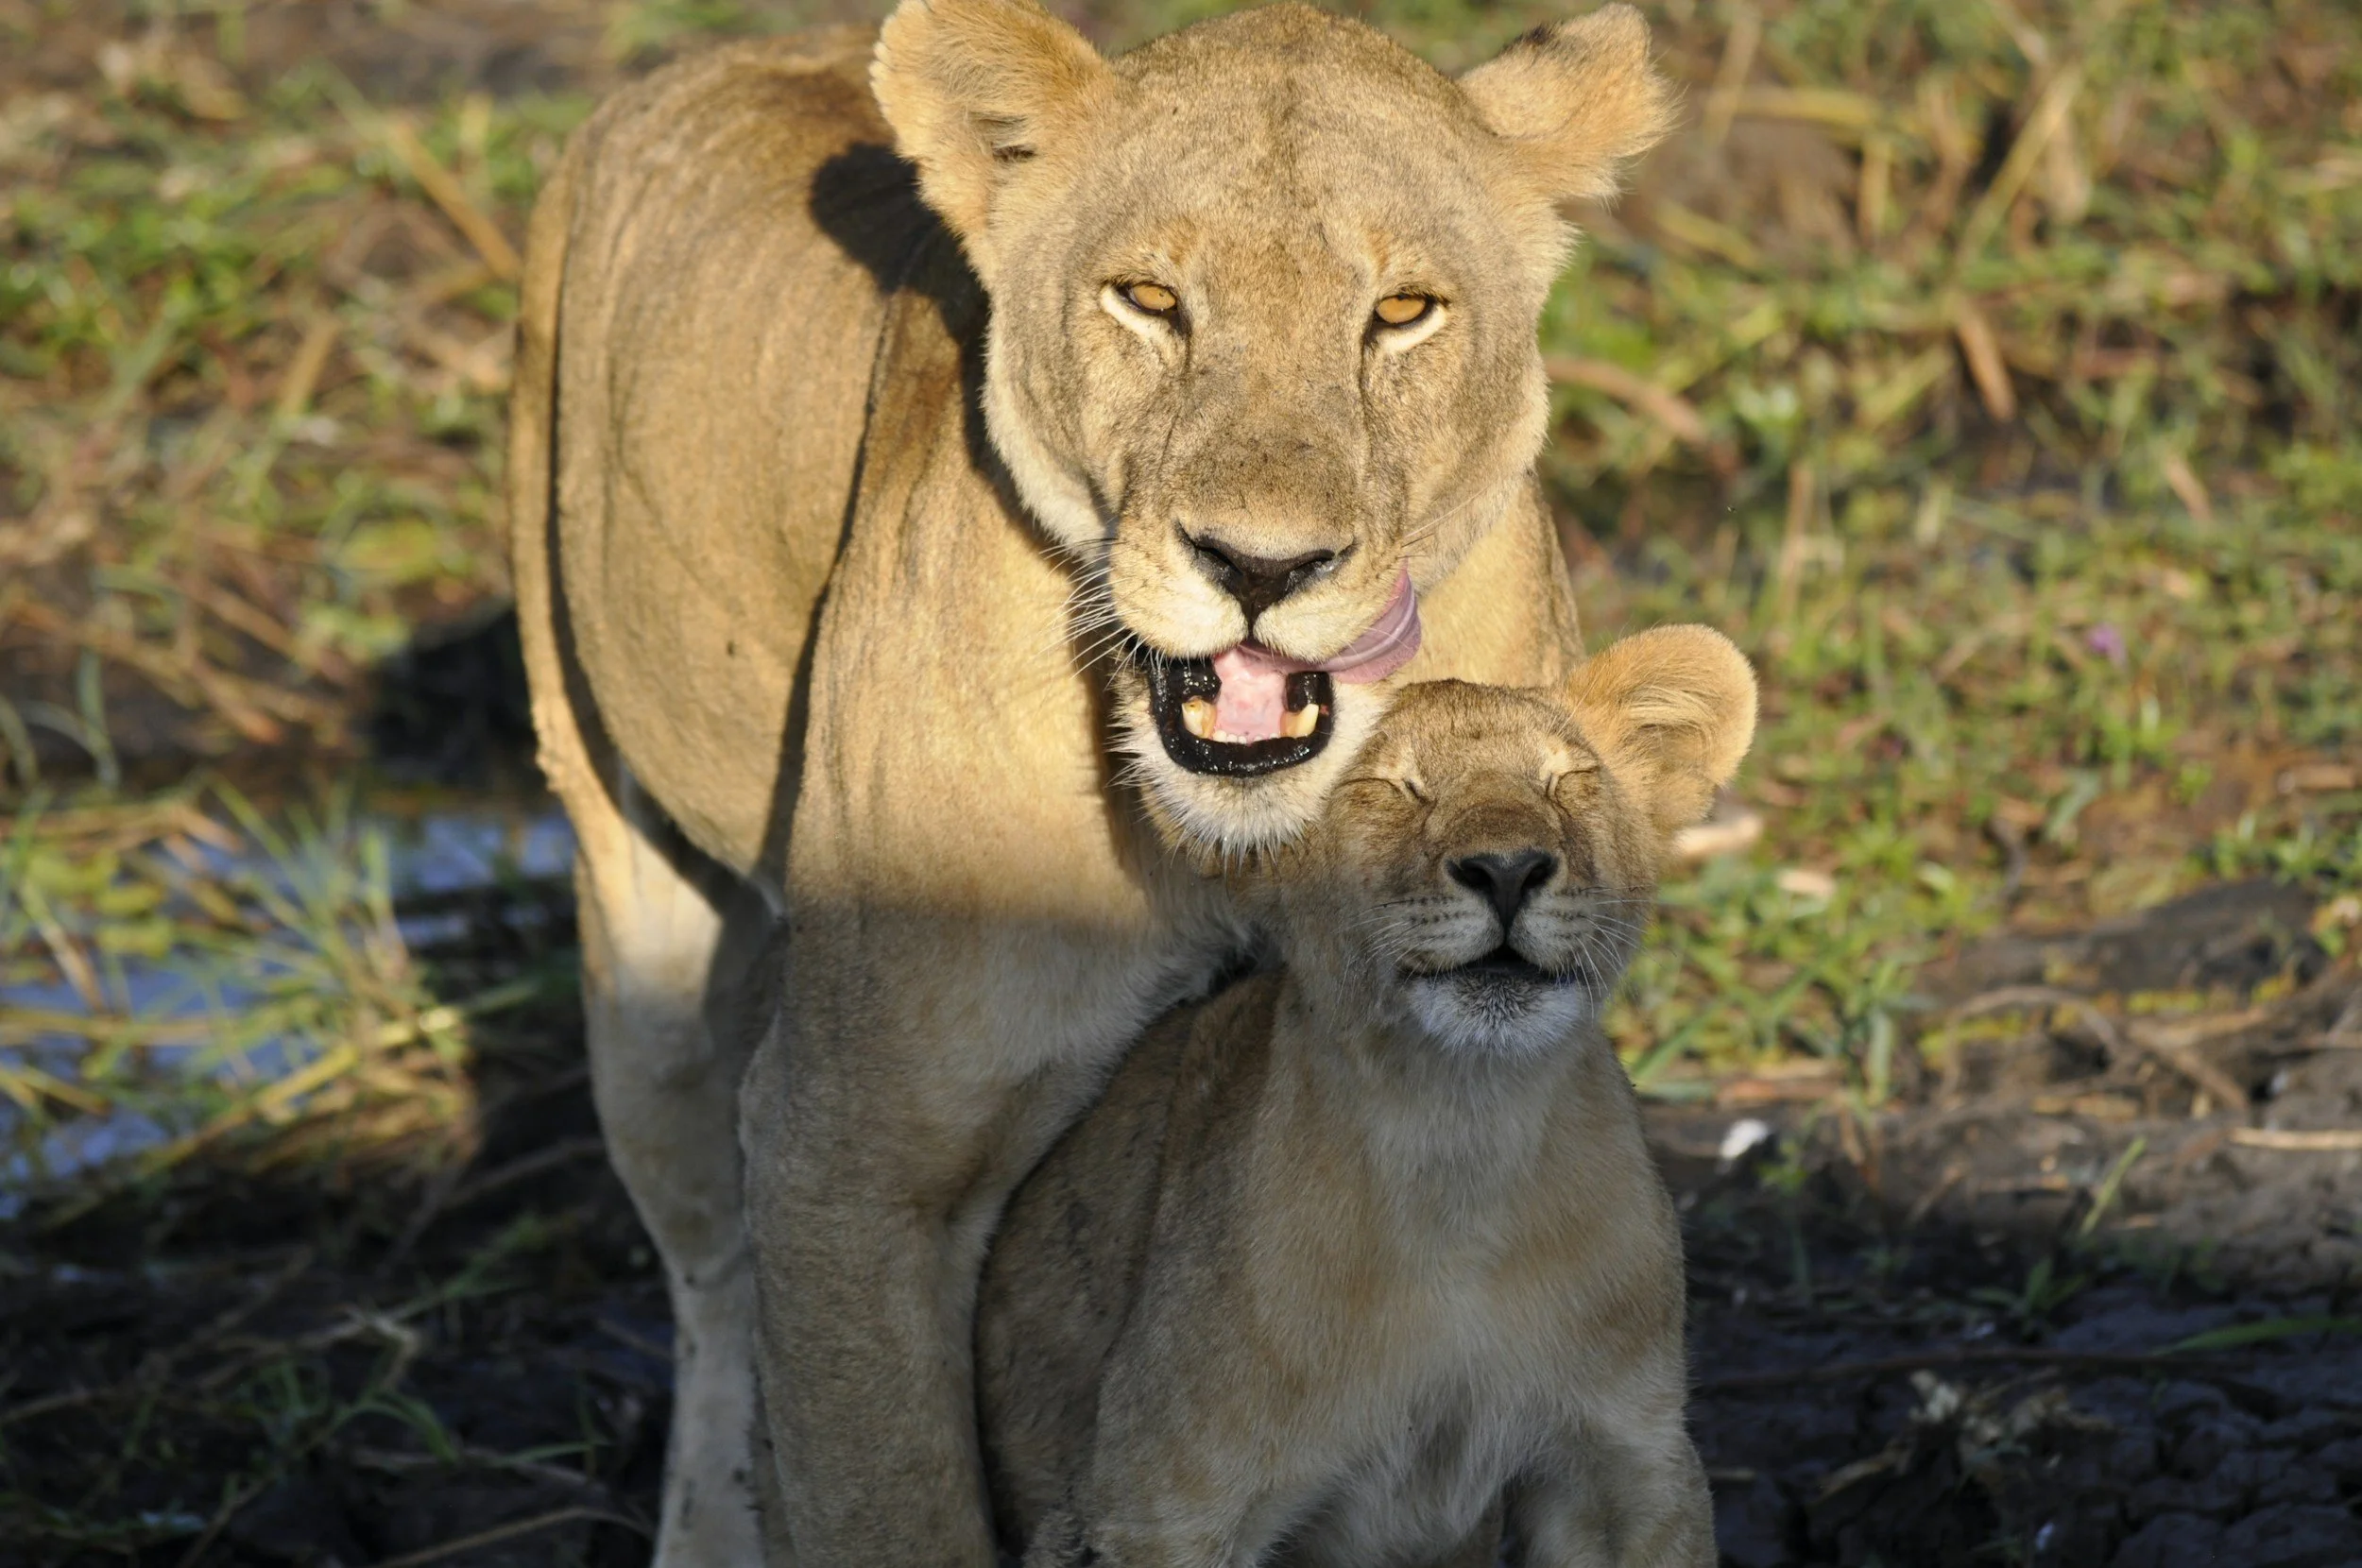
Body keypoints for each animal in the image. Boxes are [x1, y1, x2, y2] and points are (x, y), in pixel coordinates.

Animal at [506, 2, 1675, 1560]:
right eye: (1149, 299)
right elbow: (890, 1502)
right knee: (709, 1296)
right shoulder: (853, 1157)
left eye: (1402, 313)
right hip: (634, 918)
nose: (1260, 566)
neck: (1232, 847)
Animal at [974, 626, 1752, 1568]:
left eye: (1568, 779)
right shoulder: (1161, 1500)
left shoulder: (1630, 1466)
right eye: (1389, 788)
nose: (1508, 869)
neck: (1462, 1136)